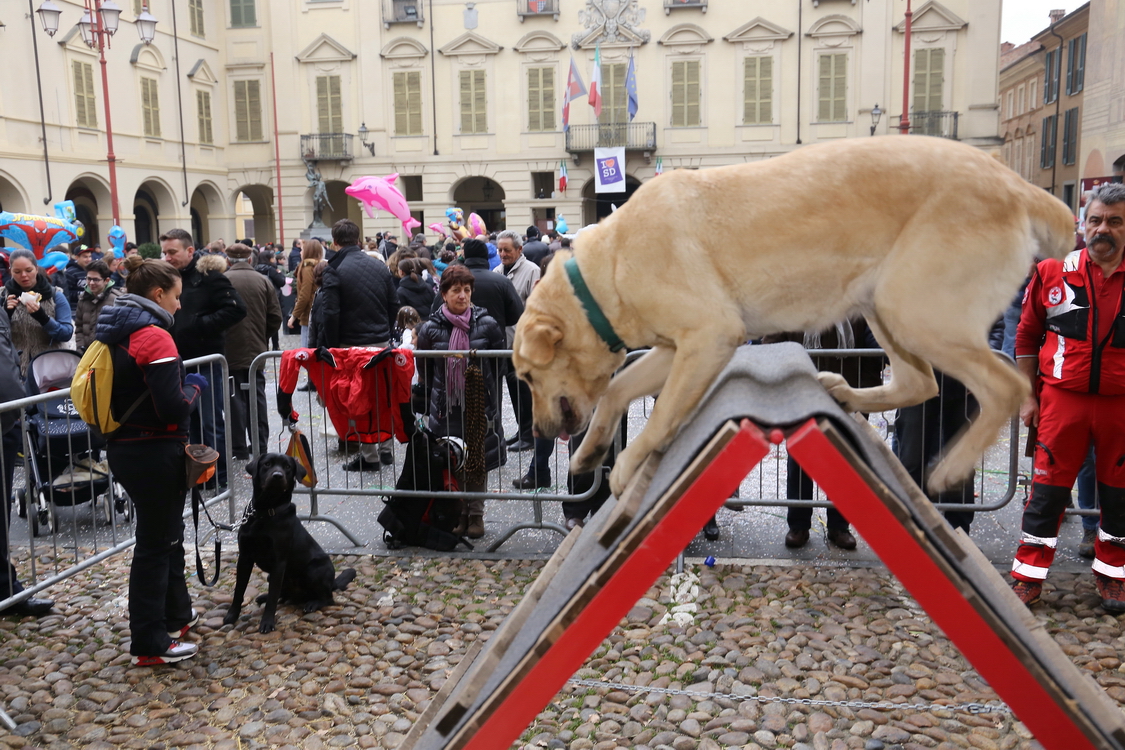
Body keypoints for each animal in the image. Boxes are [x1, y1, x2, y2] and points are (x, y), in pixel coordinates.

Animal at [222, 452, 355, 634]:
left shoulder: (279, 562)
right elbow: (239, 590)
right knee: (283, 594)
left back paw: (313, 603)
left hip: (313, 570)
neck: (266, 510)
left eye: (287, 467)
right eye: (267, 464)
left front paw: (267, 623)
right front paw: (232, 615)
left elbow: (272, 598)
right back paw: (266, 597)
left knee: (328, 598)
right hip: (273, 576)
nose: (277, 475)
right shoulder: (244, 557)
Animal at [510, 136, 1071, 499]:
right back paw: (849, 396)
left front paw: (627, 463)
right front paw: (590, 454)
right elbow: (616, 392)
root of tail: (1015, 184)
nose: (536, 431)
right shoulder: (677, 349)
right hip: (886, 306)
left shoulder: (711, 336)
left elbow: (661, 413)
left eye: (527, 376)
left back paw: (950, 469)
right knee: (922, 383)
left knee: (1007, 387)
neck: (605, 274)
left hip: (917, 311)